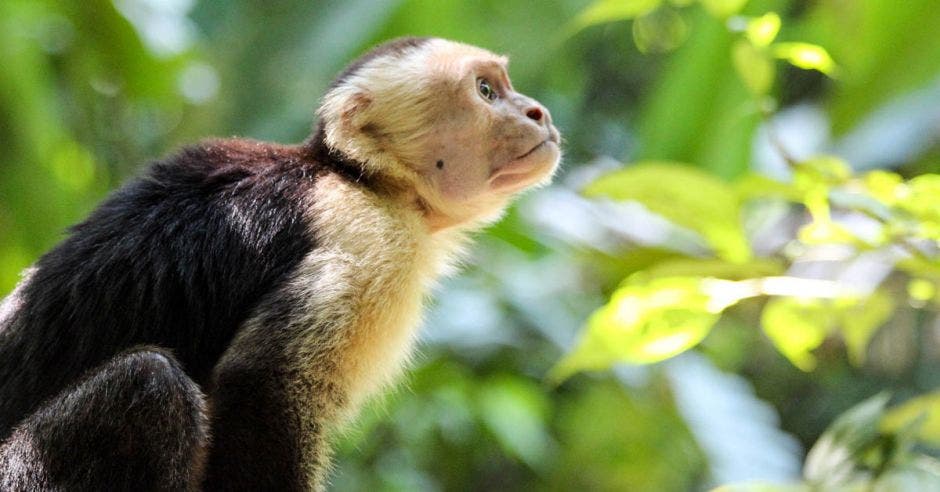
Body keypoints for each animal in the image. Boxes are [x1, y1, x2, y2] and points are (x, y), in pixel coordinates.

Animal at [0, 36, 560, 490]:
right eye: (486, 91)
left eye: (505, 86)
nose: (538, 112)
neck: (357, 177)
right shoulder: (363, 236)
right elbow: (261, 390)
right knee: (151, 384)